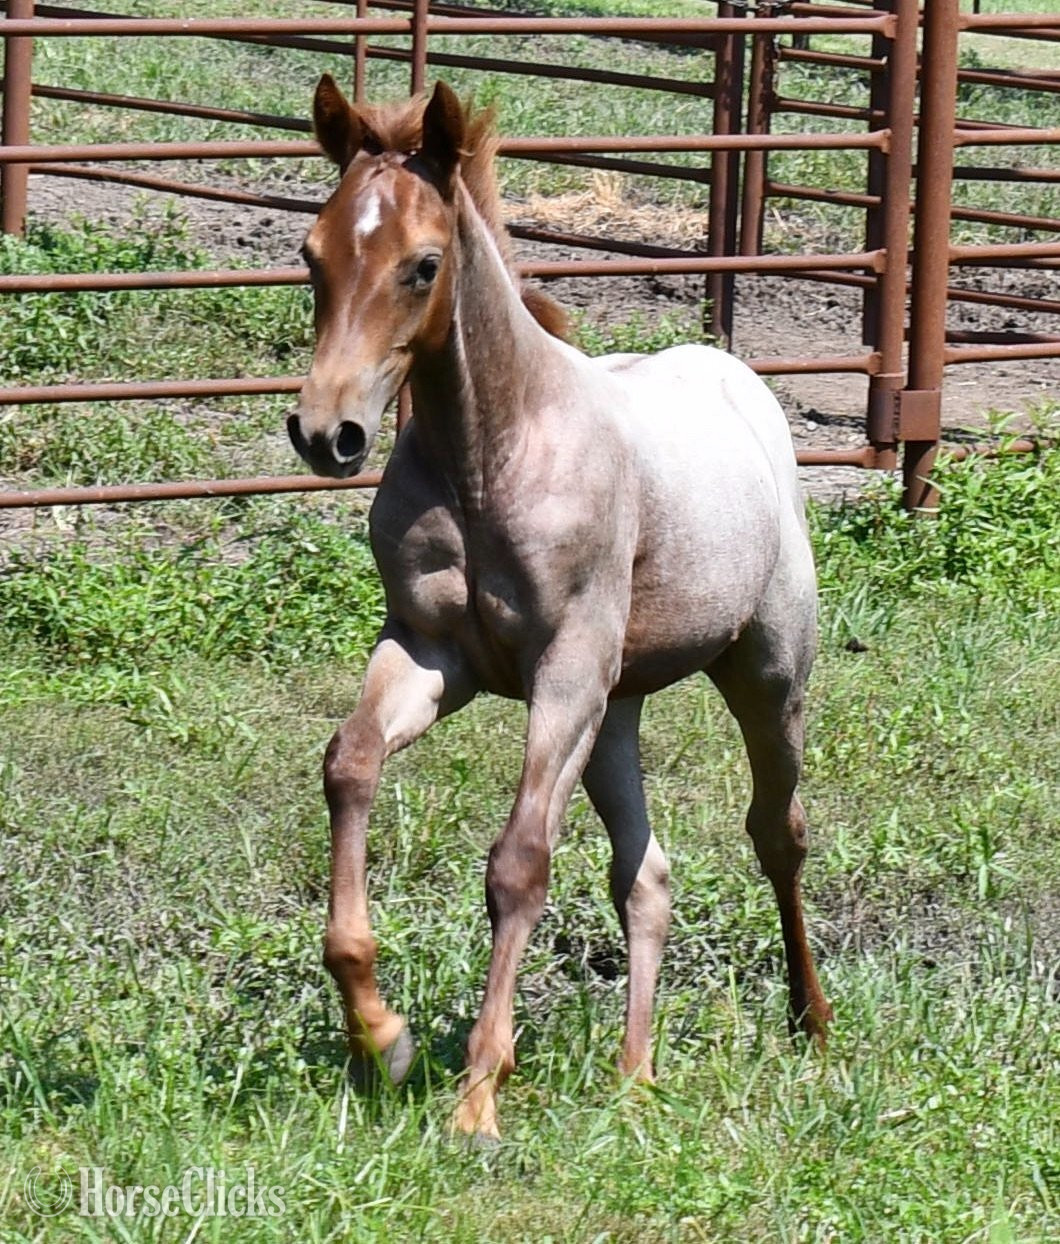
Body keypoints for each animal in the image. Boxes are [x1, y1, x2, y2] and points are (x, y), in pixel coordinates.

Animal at [287, 75, 833, 1140]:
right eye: (312, 253)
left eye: (422, 265)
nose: (328, 432)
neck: (490, 457)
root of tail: (737, 377)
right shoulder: (431, 654)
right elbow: (351, 765)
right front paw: (382, 1037)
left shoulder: (563, 671)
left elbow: (519, 862)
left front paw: (476, 1098)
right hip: (615, 709)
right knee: (647, 876)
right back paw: (634, 1077)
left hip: (763, 672)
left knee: (776, 833)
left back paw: (811, 1018)